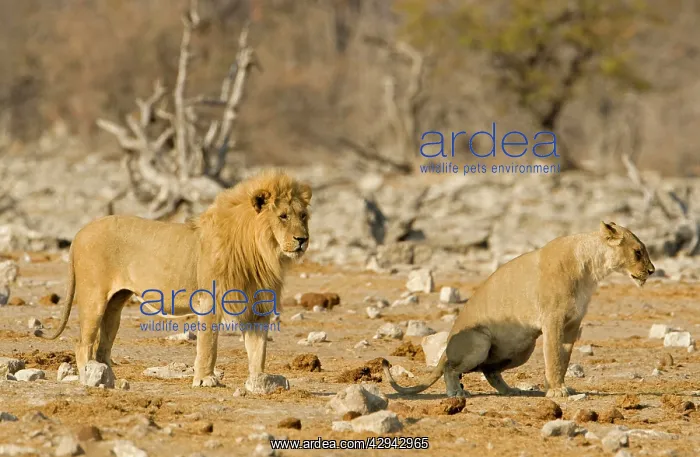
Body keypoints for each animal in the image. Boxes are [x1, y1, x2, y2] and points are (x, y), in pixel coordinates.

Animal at [38, 169, 312, 389]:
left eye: (303, 216)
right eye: (283, 216)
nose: (303, 239)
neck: (262, 252)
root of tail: (79, 232)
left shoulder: (257, 307)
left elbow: (258, 350)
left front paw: (259, 381)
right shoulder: (210, 301)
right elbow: (208, 345)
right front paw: (205, 380)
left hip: (115, 304)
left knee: (102, 346)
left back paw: (109, 379)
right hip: (94, 297)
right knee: (82, 343)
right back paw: (90, 378)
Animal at [382, 222, 655, 398]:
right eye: (638, 252)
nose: (652, 271)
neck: (591, 268)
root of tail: (449, 341)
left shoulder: (572, 323)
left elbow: (564, 358)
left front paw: (559, 387)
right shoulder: (553, 320)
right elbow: (553, 357)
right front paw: (557, 391)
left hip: (524, 348)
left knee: (489, 370)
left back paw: (509, 391)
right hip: (479, 340)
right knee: (451, 367)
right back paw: (455, 392)